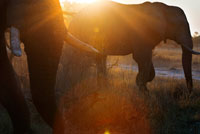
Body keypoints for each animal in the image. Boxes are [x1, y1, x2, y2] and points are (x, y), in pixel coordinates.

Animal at [68, 1, 200, 92]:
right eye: (179, 25)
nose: (188, 93)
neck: (163, 7)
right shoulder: (141, 32)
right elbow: (141, 57)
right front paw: (143, 90)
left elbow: (146, 60)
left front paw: (141, 85)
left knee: (100, 57)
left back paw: (103, 88)